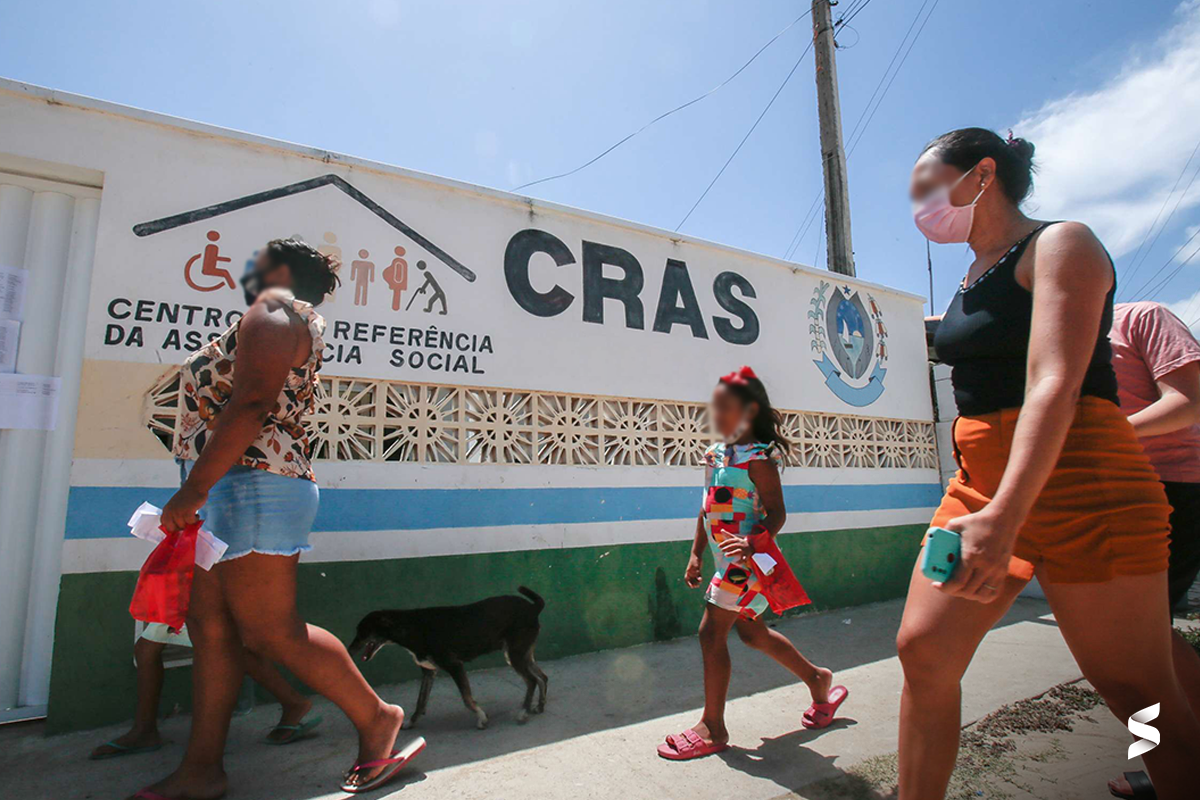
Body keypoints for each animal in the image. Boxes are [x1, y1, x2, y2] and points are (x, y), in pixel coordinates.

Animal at [348, 585, 549, 729]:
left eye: (362, 632)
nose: (348, 650)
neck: (411, 627)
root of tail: (533, 607)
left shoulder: (454, 666)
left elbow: (467, 699)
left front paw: (481, 718)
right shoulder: (428, 671)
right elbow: (420, 701)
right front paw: (411, 722)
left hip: (515, 655)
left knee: (532, 680)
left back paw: (523, 713)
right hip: (521, 654)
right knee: (542, 677)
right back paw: (539, 707)